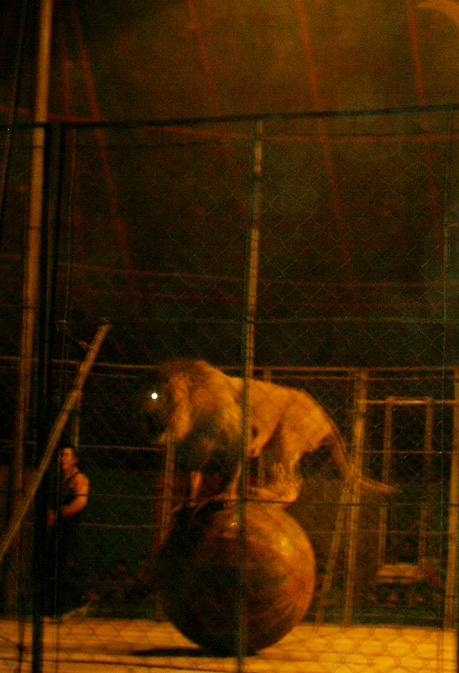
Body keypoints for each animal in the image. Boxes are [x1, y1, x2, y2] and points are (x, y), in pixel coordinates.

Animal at [141, 358, 395, 505]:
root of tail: (323, 414)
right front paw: (187, 502)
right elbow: (192, 479)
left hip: (286, 438)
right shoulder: (194, 450)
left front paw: (224, 495)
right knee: (290, 484)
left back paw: (259, 493)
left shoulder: (239, 436)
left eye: (154, 395)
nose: (142, 410)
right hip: (275, 447)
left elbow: (230, 474)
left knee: (293, 488)